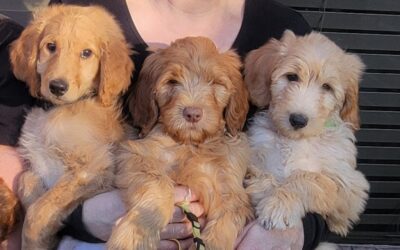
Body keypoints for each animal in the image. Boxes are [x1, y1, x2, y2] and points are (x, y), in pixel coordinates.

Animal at [9, 4, 134, 249]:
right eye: (51, 46)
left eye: (86, 53)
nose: (57, 87)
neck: (57, 112)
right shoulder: (38, 162)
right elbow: (25, 181)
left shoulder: (95, 168)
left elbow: (40, 209)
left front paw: (34, 238)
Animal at [108, 37, 253, 250]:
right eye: (172, 82)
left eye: (215, 83)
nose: (192, 114)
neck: (189, 145)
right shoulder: (136, 154)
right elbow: (159, 186)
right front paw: (135, 237)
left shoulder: (230, 188)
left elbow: (224, 223)